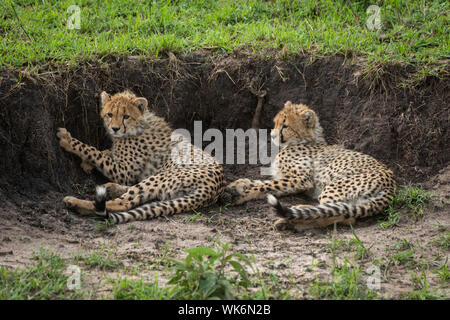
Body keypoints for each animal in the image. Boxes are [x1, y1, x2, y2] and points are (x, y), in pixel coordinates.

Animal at [56, 90, 225, 224]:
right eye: (110, 114)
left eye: (126, 116)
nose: (115, 128)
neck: (138, 125)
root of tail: (216, 186)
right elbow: (106, 152)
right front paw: (87, 163)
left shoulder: (123, 172)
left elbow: (94, 152)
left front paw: (68, 140)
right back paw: (111, 188)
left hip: (161, 176)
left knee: (122, 203)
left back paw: (75, 202)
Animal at [223, 101, 396, 231]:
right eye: (276, 122)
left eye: (285, 126)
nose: (272, 135)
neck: (303, 140)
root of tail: (391, 183)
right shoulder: (286, 177)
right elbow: (258, 182)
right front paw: (233, 186)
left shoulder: (300, 180)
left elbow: (264, 186)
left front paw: (240, 195)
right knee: (343, 213)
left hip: (333, 185)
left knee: (337, 214)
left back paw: (290, 218)